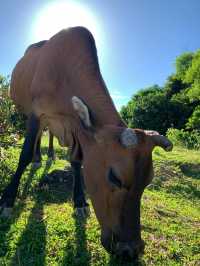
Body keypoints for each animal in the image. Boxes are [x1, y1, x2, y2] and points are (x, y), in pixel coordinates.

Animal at [0, 26, 173, 258]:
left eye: (148, 180)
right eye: (114, 177)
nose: (130, 250)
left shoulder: (76, 129)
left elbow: (76, 161)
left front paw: (80, 202)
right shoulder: (37, 114)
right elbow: (24, 153)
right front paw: (7, 201)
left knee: (49, 135)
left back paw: (49, 156)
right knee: (35, 142)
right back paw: (38, 159)